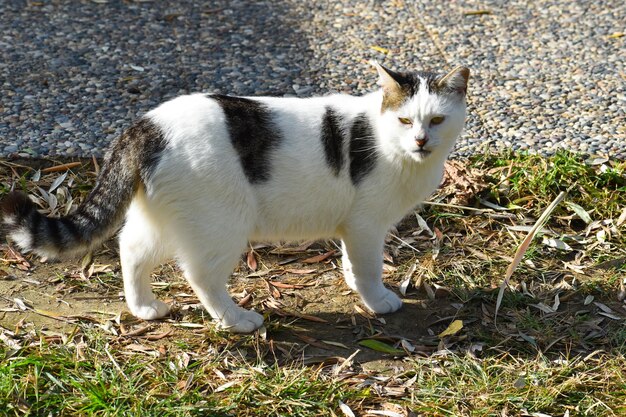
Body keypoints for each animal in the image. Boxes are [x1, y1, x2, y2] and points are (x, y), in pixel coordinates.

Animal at [1, 61, 468, 332]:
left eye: (437, 120)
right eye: (406, 120)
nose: (422, 140)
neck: (388, 141)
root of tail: (146, 124)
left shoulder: (353, 228)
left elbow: (352, 262)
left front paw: (354, 282)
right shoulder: (366, 225)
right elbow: (368, 266)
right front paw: (375, 299)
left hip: (162, 218)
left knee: (130, 248)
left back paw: (144, 307)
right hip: (222, 225)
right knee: (201, 276)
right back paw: (237, 319)